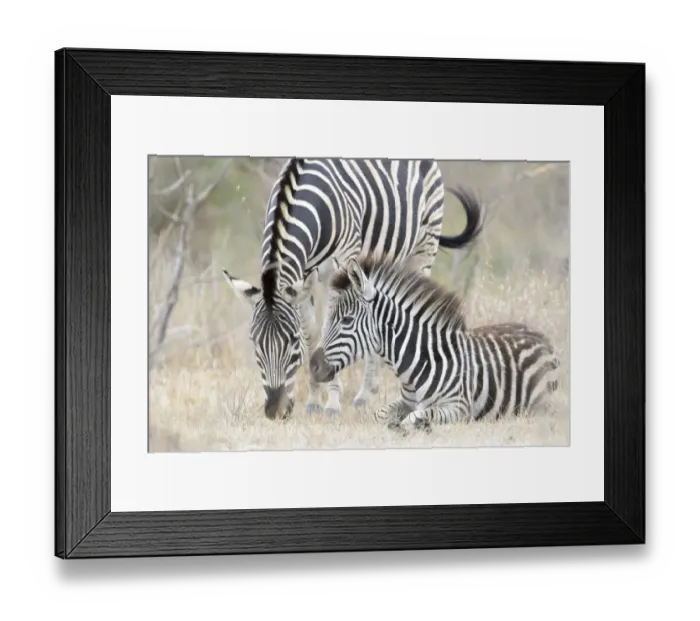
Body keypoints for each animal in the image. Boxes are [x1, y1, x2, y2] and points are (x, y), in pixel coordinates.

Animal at [221, 157, 484, 421]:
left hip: (425, 245)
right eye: (254, 341)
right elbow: (313, 334)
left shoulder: (340, 265)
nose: (275, 411)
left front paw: (332, 402)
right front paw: (314, 400)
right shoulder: (303, 278)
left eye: (292, 341)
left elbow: (328, 328)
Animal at [308, 254, 561, 434]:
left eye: (347, 320)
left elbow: (415, 418)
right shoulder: (405, 401)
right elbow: (378, 415)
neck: (418, 364)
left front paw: (412, 426)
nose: (312, 366)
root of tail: (540, 335)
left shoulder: (459, 407)